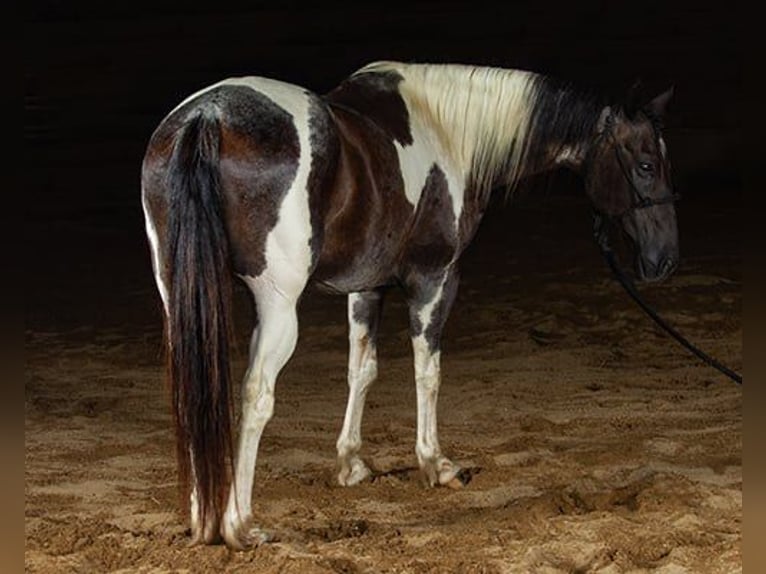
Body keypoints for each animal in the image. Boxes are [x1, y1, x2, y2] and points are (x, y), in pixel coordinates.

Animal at [141, 61, 678, 549]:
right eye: (646, 165)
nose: (665, 259)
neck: (448, 131)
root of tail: (208, 116)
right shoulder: (434, 279)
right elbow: (428, 370)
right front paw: (436, 464)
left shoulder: (366, 287)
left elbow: (362, 370)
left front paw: (351, 464)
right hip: (277, 306)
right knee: (256, 395)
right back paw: (239, 526)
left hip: (178, 293)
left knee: (193, 394)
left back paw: (203, 518)